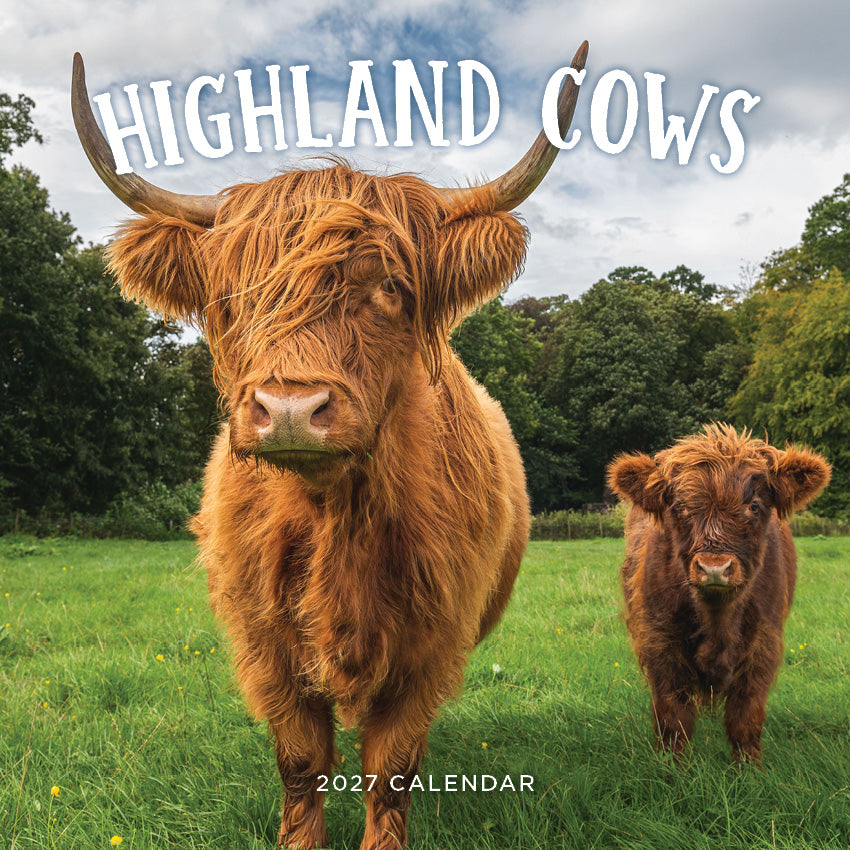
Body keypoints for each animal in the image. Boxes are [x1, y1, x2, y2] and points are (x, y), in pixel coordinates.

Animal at [72, 43, 588, 849]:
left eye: (391, 287)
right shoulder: (265, 646)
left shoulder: (430, 644)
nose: (289, 409)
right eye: (232, 299)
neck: (335, 519)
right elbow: (299, 762)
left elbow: (392, 768)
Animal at [607, 423, 830, 762]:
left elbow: (745, 718)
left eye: (753, 505)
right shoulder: (660, 642)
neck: (718, 621)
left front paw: (749, 768)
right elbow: (673, 719)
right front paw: (671, 768)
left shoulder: (763, 644)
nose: (714, 567)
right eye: (680, 506)